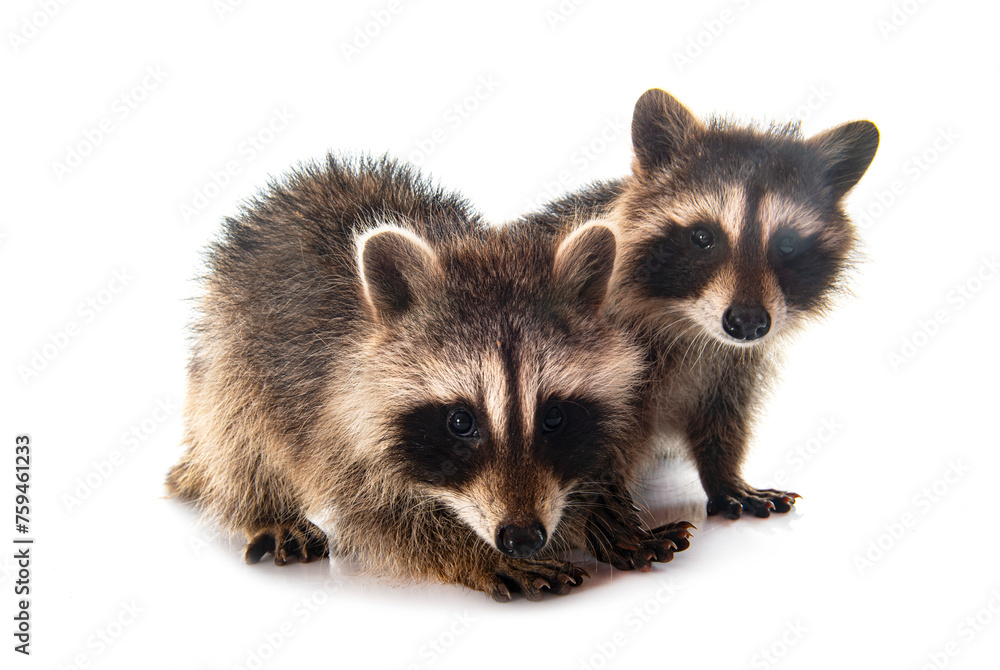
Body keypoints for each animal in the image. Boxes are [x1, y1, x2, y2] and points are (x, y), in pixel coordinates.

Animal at [167, 156, 693, 601]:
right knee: (239, 441)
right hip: (229, 353)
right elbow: (380, 521)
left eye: (555, 418)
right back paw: (264, 510)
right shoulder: (334, 420)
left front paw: (599, 509)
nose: (522, 538)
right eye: (460, 421)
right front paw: (472, 553)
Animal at [523, 90, 879, 519]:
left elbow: (723, 417)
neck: (689, 326)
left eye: (787, 245)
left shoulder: (731, 365)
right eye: (702, 237)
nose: (747, 322)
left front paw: (723, 474)